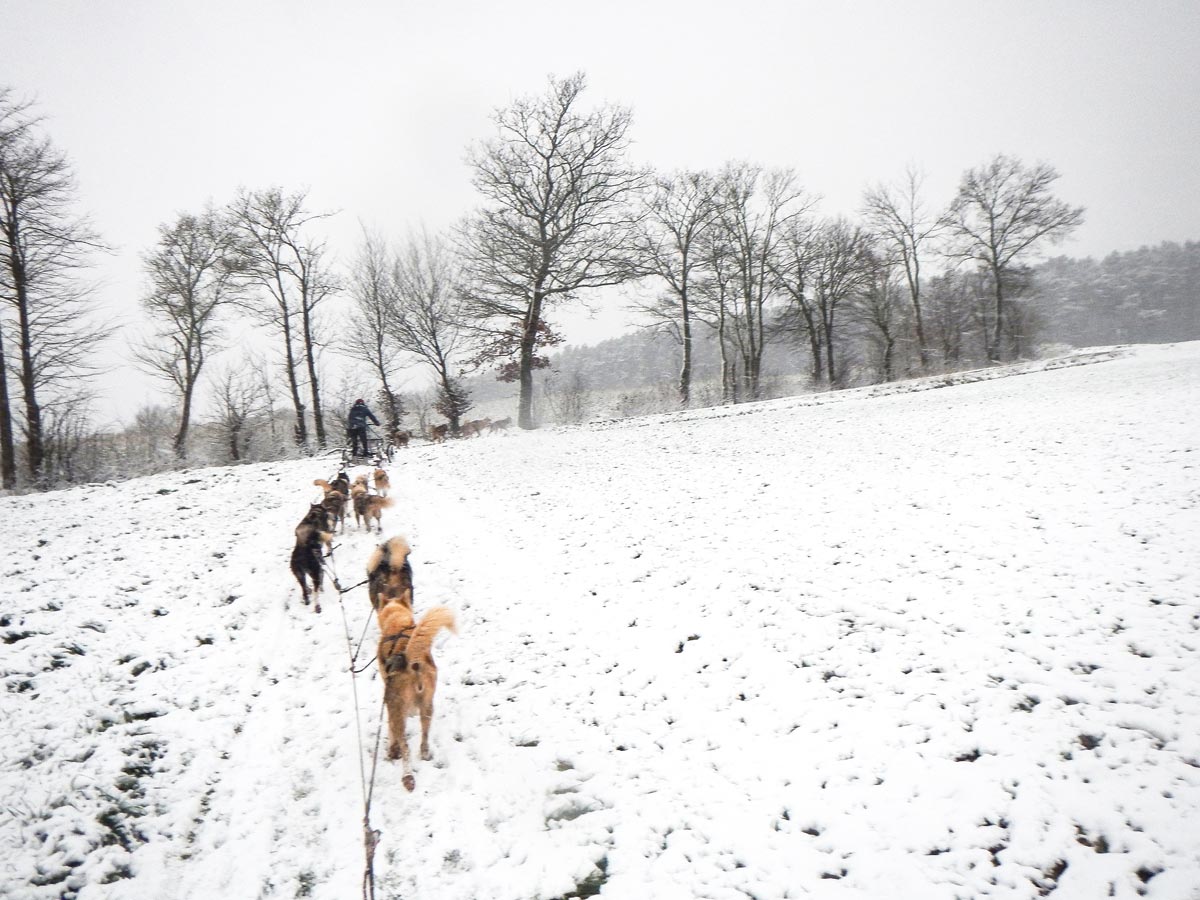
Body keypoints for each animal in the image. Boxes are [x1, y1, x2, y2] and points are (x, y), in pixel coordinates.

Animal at [376, 602, 456, 792]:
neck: (397, 623)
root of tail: (411, 661)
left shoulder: (392, 707)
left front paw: (392, 749)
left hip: (396, 709)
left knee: (406, 749)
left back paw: (408, 777)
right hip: (427, 706)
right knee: (424, 737)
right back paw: (425, 753)